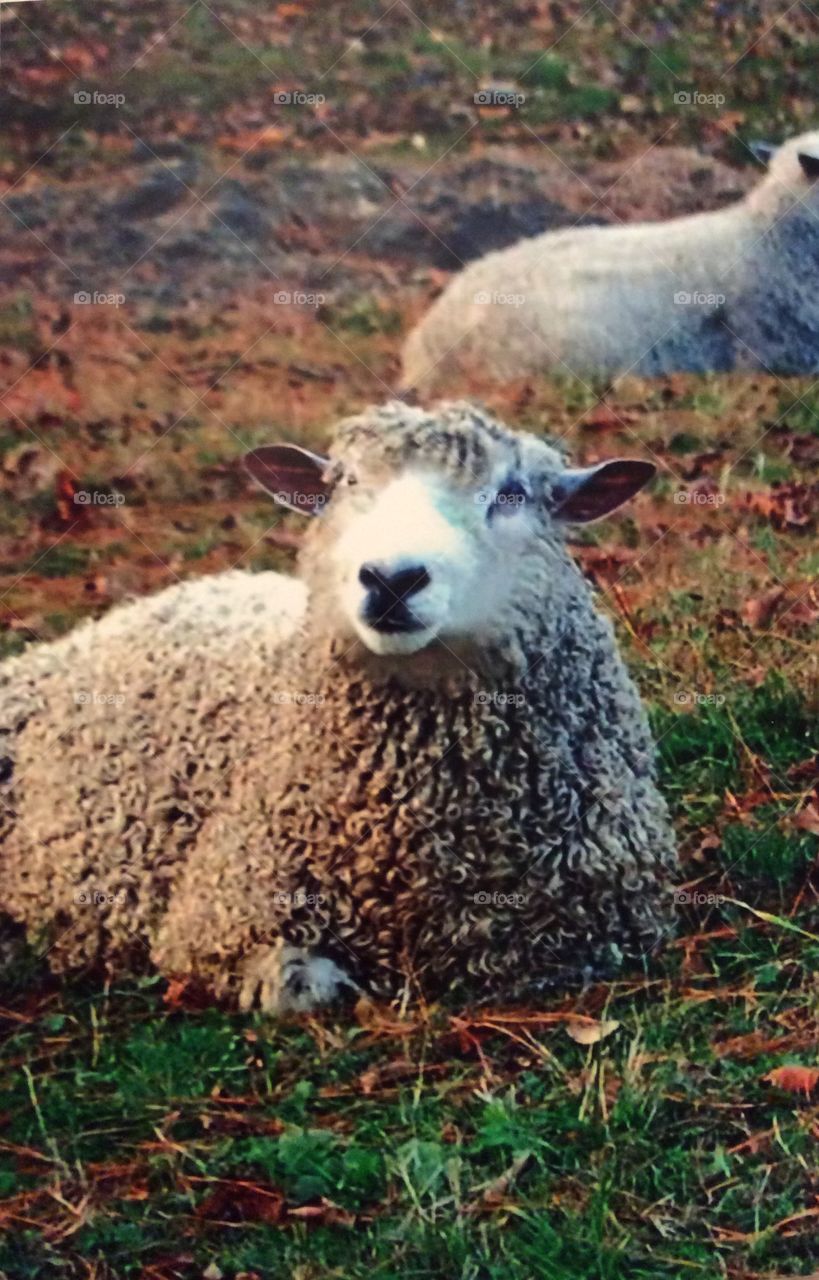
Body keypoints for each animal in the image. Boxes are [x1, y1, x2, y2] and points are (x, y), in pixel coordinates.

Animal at [0, 401, 677, 1012]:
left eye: (512, 494)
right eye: (346, 483)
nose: (391, 579)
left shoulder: (594, 926)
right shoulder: (219, 915)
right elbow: (300, 988)